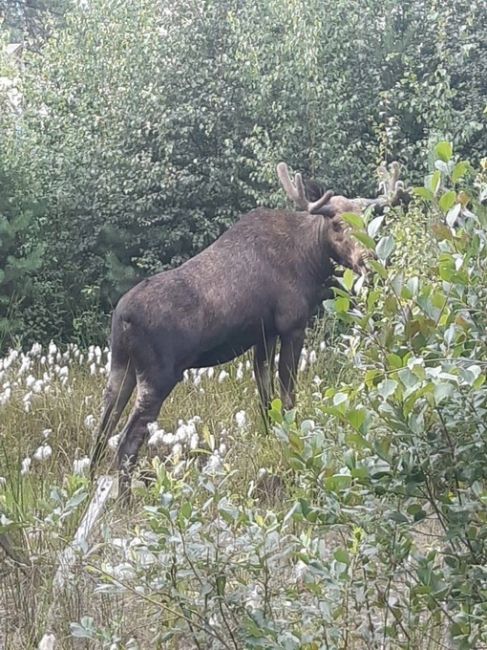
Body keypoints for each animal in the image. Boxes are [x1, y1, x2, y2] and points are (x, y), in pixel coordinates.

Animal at [91, 161, 408, 492]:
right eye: (336, 224)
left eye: (367, 220)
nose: (368, 260)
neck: (311, 260)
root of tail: (122, 318)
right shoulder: (292, 325)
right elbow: (288, 393)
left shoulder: (263, 334)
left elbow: (265, 397)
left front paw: (273, 437)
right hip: (158, 375)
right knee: (126, 443)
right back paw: (124, 497)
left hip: (121, 367)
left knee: (101, 434)